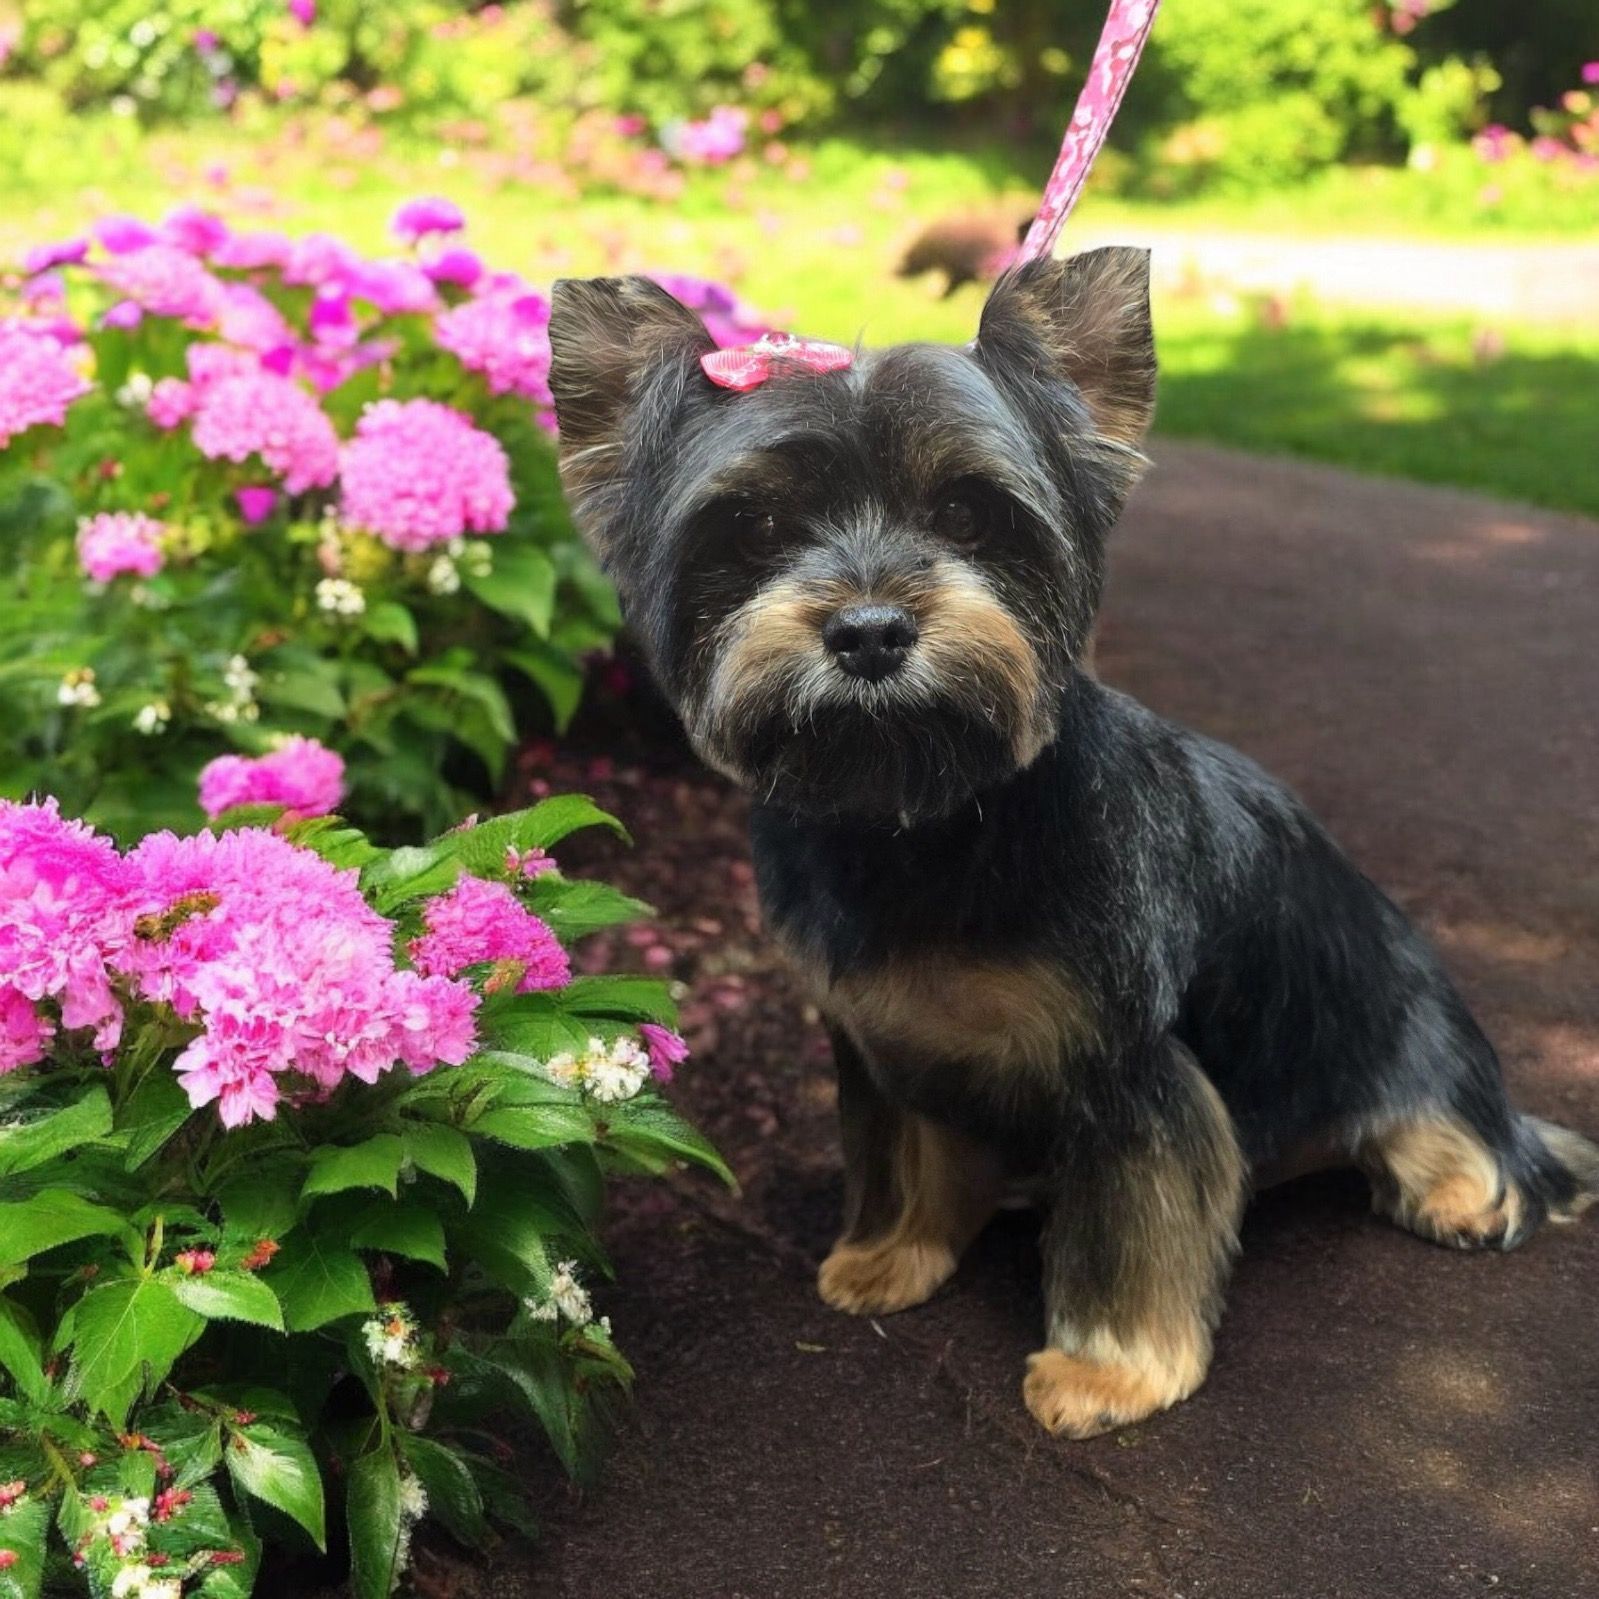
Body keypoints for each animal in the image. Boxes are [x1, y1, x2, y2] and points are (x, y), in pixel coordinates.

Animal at [543, 252, 1592, 1439]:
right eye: (756, 529)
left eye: (967, 511)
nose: (869, 631)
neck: (928, 817)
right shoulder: (882, 1037)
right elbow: (907, 1152)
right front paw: (889, 1255)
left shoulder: (1127, 1070)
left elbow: (1134, 1222)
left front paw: (1108, 1370)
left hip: (1408, 1040)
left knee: (1469, 1138)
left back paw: (1467, 1187)